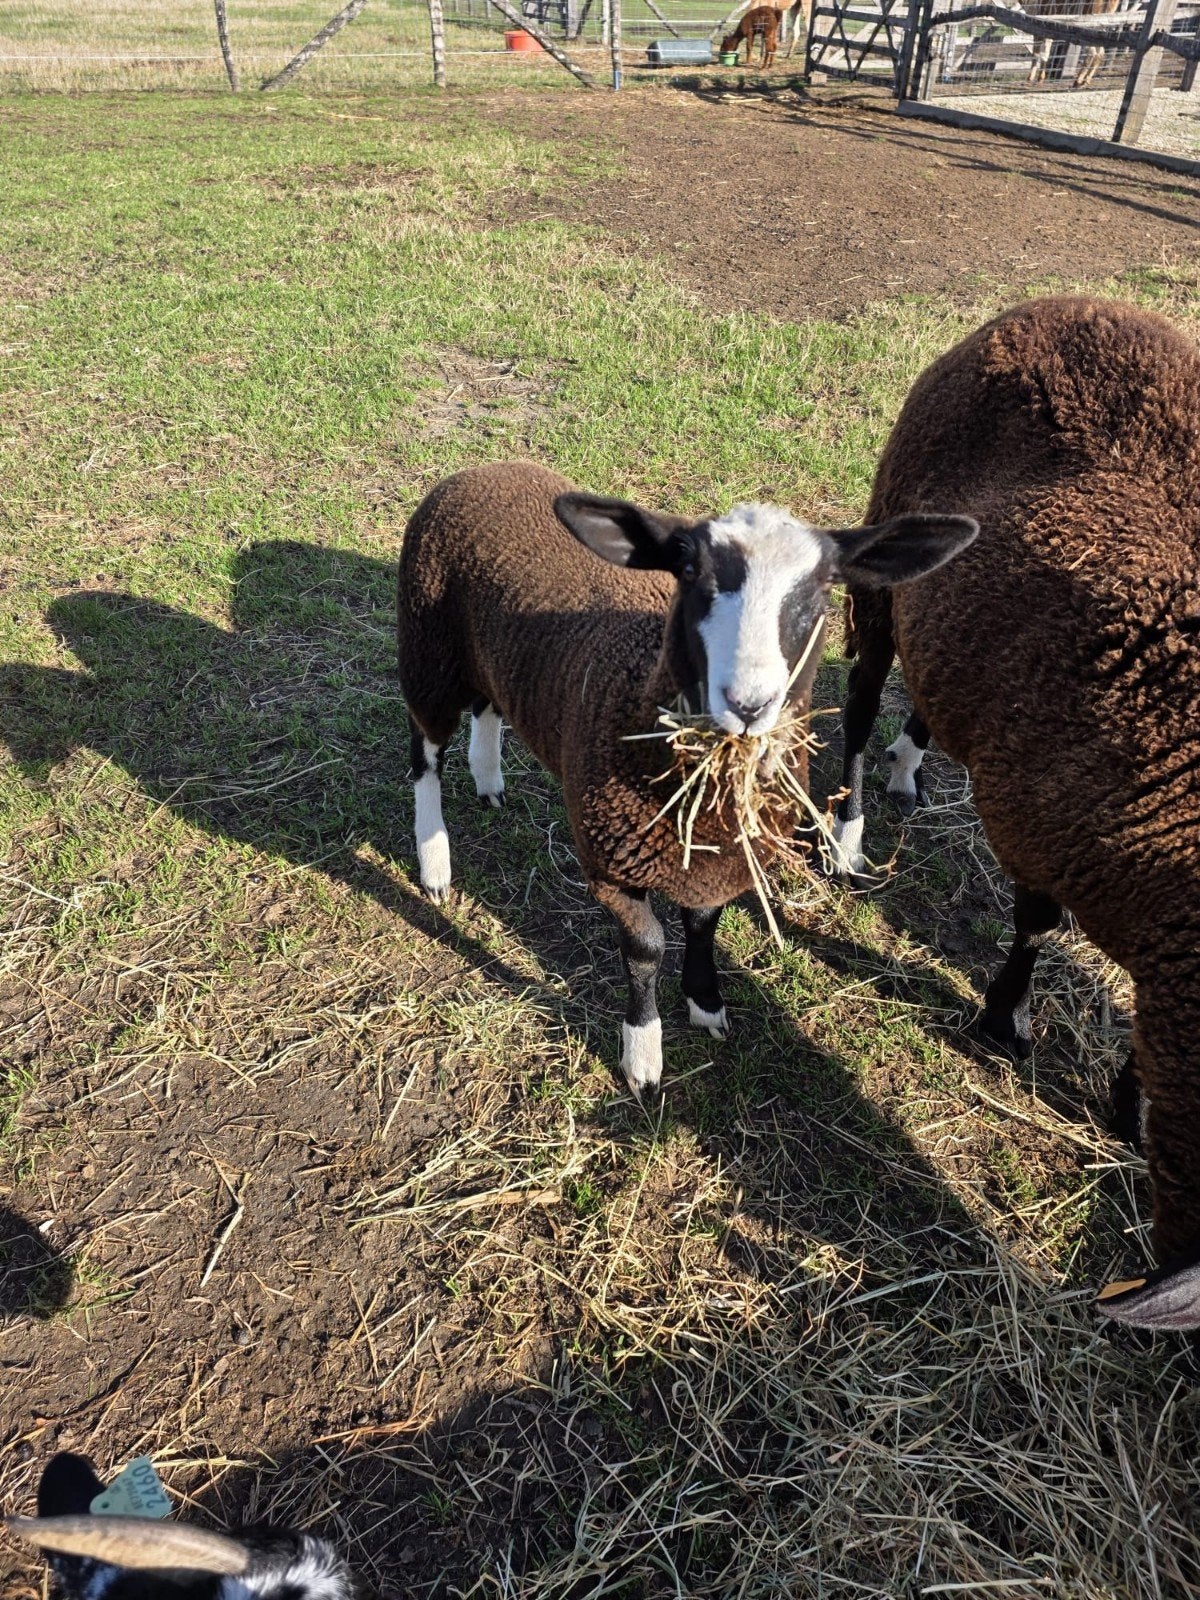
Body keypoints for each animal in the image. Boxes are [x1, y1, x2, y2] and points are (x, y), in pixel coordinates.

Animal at [397, 460, 976, 1096]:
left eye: (825, 585)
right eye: (691, 571)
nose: (749, 703)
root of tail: (484, 469)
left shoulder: (718, 860)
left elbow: (704, 923)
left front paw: (705, 1002)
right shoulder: (610, 862)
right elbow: (647, 948)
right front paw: (644, 1056)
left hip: (482, 657)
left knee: (488, 706)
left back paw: (488, 778)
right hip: (428, 649)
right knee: (425, 755)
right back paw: (435, 862)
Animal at [829, 294, 1200, 1331]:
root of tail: (1062, 304)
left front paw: (1123, 1105)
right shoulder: (1043, 825)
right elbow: (1036, 922)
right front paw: (1004, 1019)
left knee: (925, 695)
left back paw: (910, 771)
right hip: (885, 552)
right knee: (864, 696)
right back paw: (849, 830)